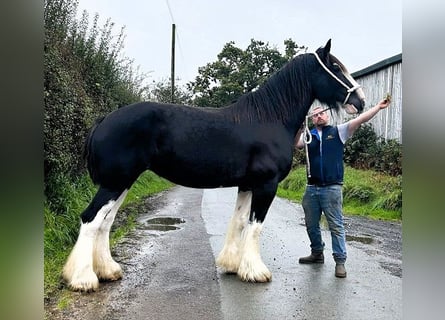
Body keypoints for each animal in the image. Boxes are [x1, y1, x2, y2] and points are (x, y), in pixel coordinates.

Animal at [64, 38, 366, 292]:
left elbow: (240, 221)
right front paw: (256, 272)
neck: (269, 118)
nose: (360, 101)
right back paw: (83, 280)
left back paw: (108, 271)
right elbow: (255, 225)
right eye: (336, 67)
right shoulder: (266, 185)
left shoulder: (247, 185)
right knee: (91, 219)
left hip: (122, 182)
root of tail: (104, 119)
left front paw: (233, 265)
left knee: (105, 222)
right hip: (115, 182)